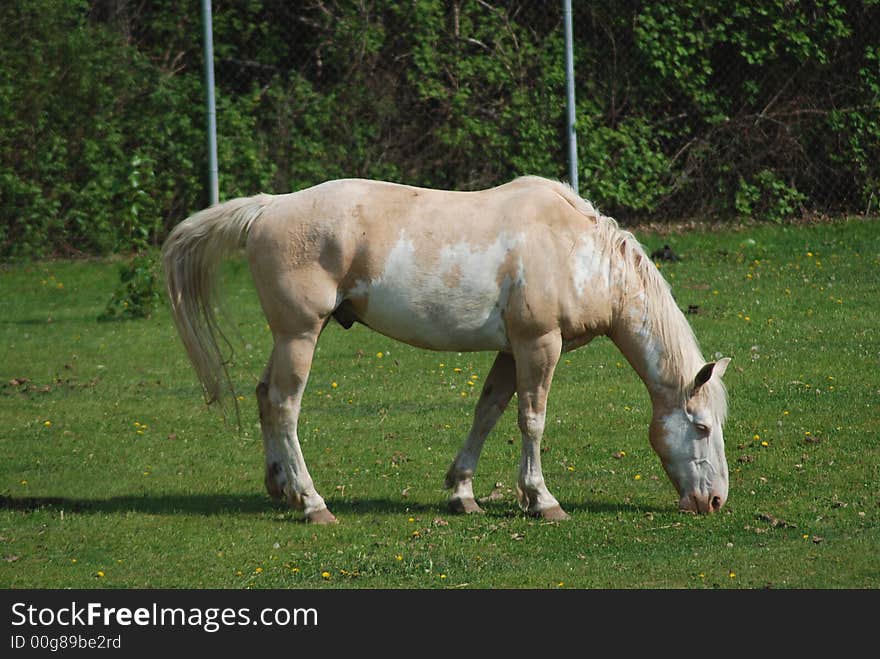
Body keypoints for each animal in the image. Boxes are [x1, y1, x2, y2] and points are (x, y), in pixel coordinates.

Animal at [162, 177, 732, 524]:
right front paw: (541, 499)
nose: (715, 500)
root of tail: (268, 207)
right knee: (284, 406)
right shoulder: (539, 345)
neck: (579, 254)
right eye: (702, 427)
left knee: (264, 396)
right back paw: (312, 503)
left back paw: (280, 486)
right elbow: (532, 420)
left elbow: (489, 412)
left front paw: (463, 492)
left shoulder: (512, 351)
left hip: (291, 337)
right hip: (300, 335)